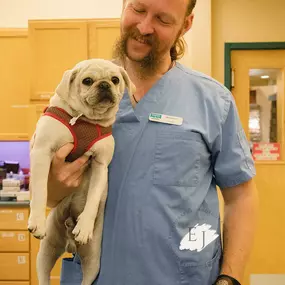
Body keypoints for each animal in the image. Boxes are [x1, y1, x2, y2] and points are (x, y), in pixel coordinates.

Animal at [27, 58, 135, 284]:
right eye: (87, 81)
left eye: (115, 79)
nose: (104, 85)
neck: (86, 120)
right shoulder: (42, 151)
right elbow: (40, 191)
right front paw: (37, 221)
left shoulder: (100, 166)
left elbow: (92, 200)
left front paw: (84, 226)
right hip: (46, 252)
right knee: (43, 276)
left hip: (93, 261)